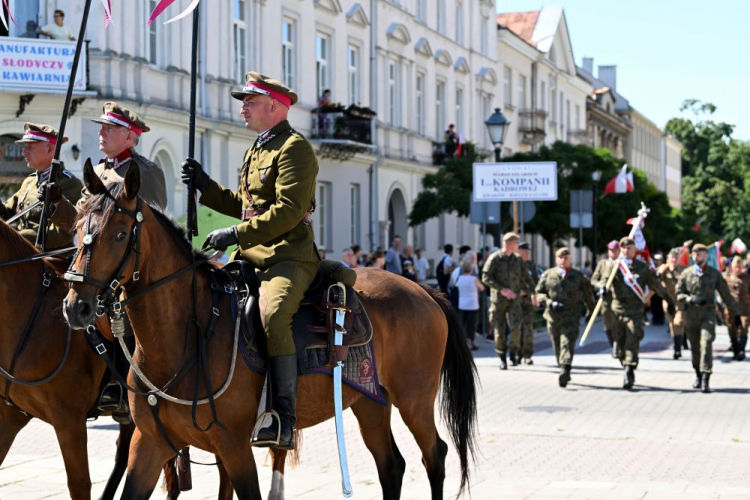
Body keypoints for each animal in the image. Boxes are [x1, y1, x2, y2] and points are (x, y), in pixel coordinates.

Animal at [63, 164, 476, 500]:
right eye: (78, 228)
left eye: (120, 235)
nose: (75, 306)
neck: (186, 337)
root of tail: (423, 289)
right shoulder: (148, 445)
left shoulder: (234, 447)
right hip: (370, 402)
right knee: (391, 466)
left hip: (414, 400)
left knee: (435, 457)